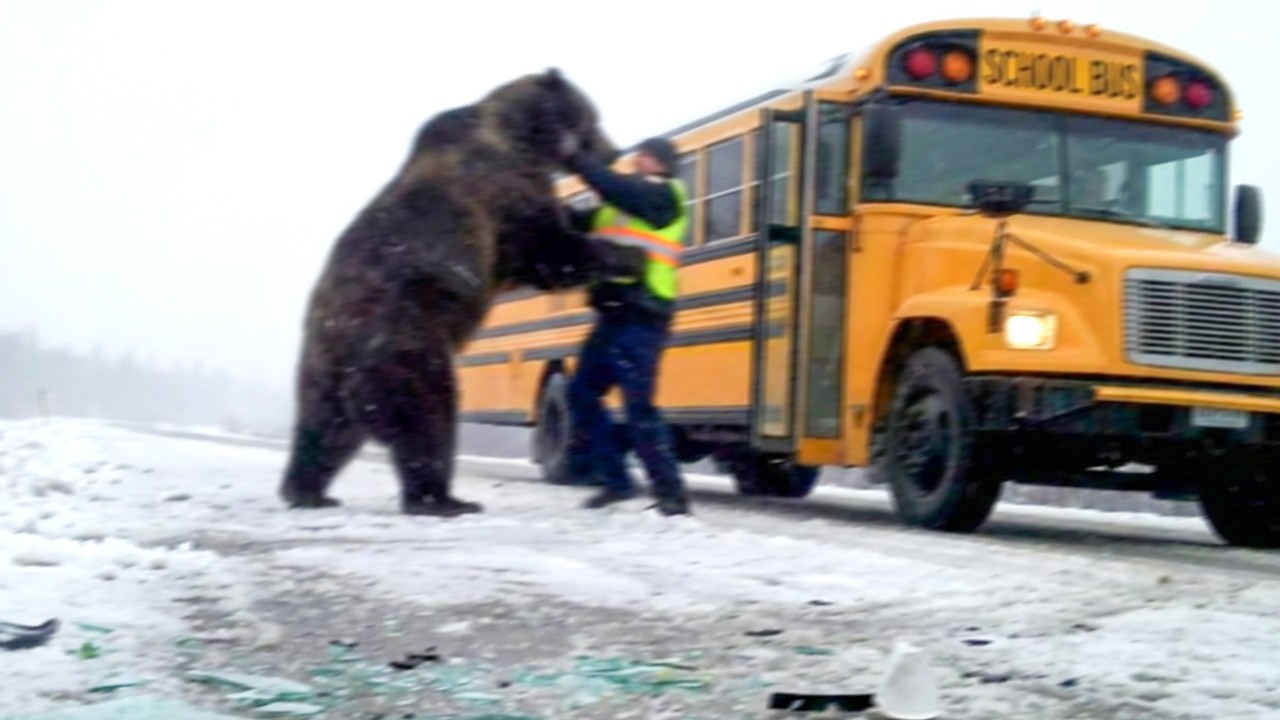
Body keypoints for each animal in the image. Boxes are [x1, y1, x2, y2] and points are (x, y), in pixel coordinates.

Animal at [277, 68, 617, 517]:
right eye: (594, 118)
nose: (614, 152)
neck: (523, 137)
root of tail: (338, 343)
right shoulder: (501, 193)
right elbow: (546, 249)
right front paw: (618, 250)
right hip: (406, 339)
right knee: (427, 414)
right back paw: (443, 499)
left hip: (319, 368)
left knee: (323, 428)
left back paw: (308, 491)